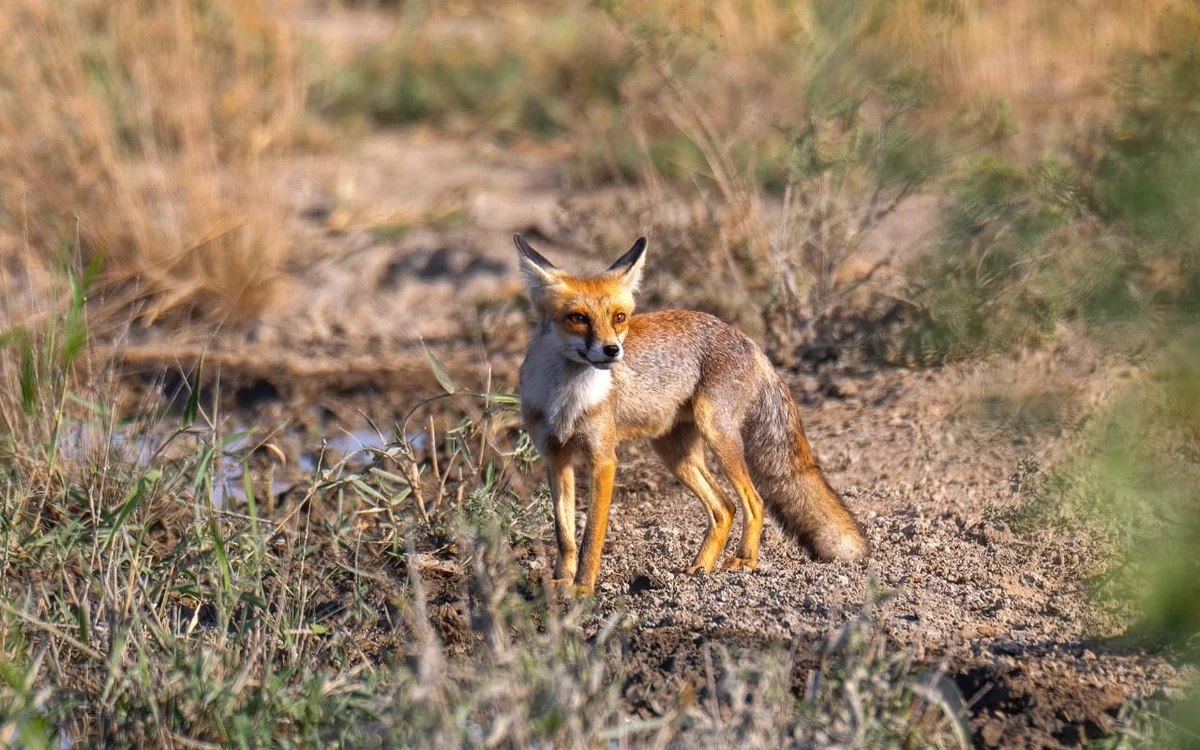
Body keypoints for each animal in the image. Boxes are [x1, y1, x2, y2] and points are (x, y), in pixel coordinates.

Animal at [511, 235, 868, 597]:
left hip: (717, 435)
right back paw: (700, 568)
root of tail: (747, 339)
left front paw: (583, 588)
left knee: (753, 501)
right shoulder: (555, 456)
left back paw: (744, 562)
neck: (565, 398)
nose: (612, 350)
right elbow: (565, 536)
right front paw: (560, 583)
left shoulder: (603, 459)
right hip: (674, 454)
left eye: (619, 317)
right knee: (724, 507)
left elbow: (591, 537)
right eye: (578, 317)